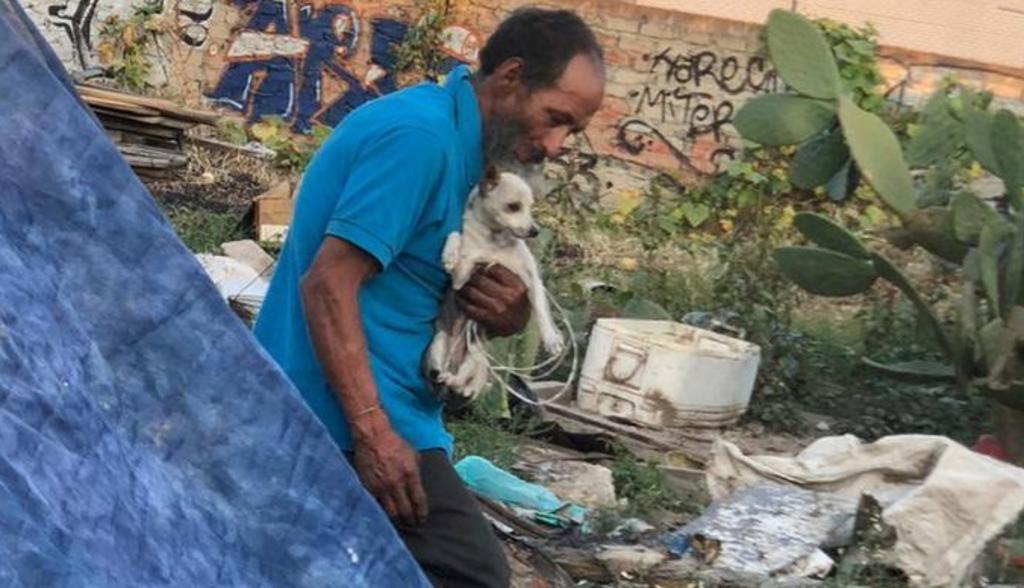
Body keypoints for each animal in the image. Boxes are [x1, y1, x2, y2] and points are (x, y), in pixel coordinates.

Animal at [425, 168, 569, 403]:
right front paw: (450, 255)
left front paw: (551, 338)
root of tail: (454, 362)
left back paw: (456, 382)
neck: (492, 238)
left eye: (531, 207)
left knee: (459, 379)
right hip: (439, 343)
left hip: (475, 355)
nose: (535, 231)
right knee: (440, 373)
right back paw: (442, 377)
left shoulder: (531, 278)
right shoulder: (459, 278)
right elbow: (457, 239)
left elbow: (540, 308)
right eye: (513, 206)